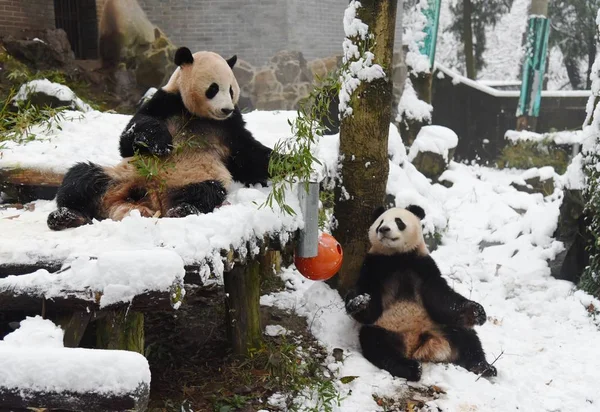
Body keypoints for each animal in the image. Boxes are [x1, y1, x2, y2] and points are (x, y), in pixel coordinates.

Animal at [48, 47, 274, 232]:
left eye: (231, 90)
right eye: (214, 88)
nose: (226, 109)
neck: (196, 115)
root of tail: (149, 198)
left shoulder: (229, 128)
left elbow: (249, 156)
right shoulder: (165, 102)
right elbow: (129, 140)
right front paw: (162, 143)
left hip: (194, 177)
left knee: (204, 191)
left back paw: (182, 209)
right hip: (121, 175)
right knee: (81, 179)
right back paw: (66, 216)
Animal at [346, 204, 496, 382]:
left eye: (398, 221)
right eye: (380, 222)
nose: (383, 229)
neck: (397, 256)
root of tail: (416, 345)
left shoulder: (423, 267)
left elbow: (442, 299)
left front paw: (477, 311)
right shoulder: (374, 267)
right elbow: (369, 303)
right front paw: (359, 302)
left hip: (439, 326)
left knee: (467, 337)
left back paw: (484, 367)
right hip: (386, 329)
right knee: (377, 345)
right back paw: (411, 369)